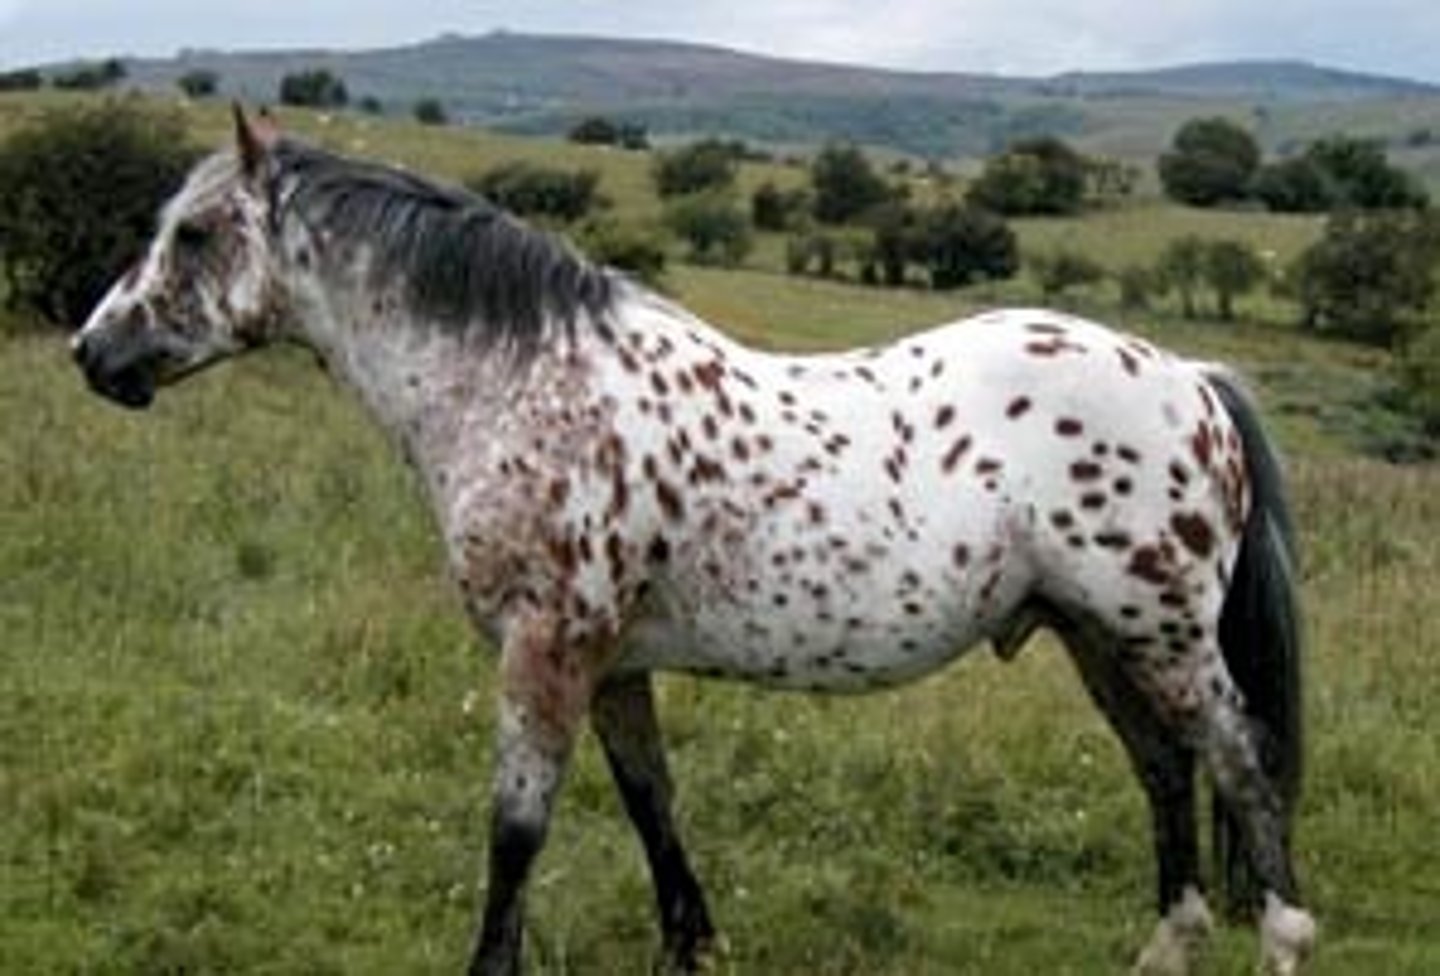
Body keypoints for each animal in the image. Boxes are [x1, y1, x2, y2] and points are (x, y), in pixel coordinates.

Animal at [72, 107, 1316, 975]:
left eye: (194, 234)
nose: (95, 353)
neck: (526, 384)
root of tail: (1190, 377)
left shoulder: (546, 648)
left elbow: (516, 828)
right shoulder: (615, 662)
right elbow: (650, 803)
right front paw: (692, 943)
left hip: (1160, 637)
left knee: (1242, 761)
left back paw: (1282, 937)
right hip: (1094, 637)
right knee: (1164, 769)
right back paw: (1165, 945)